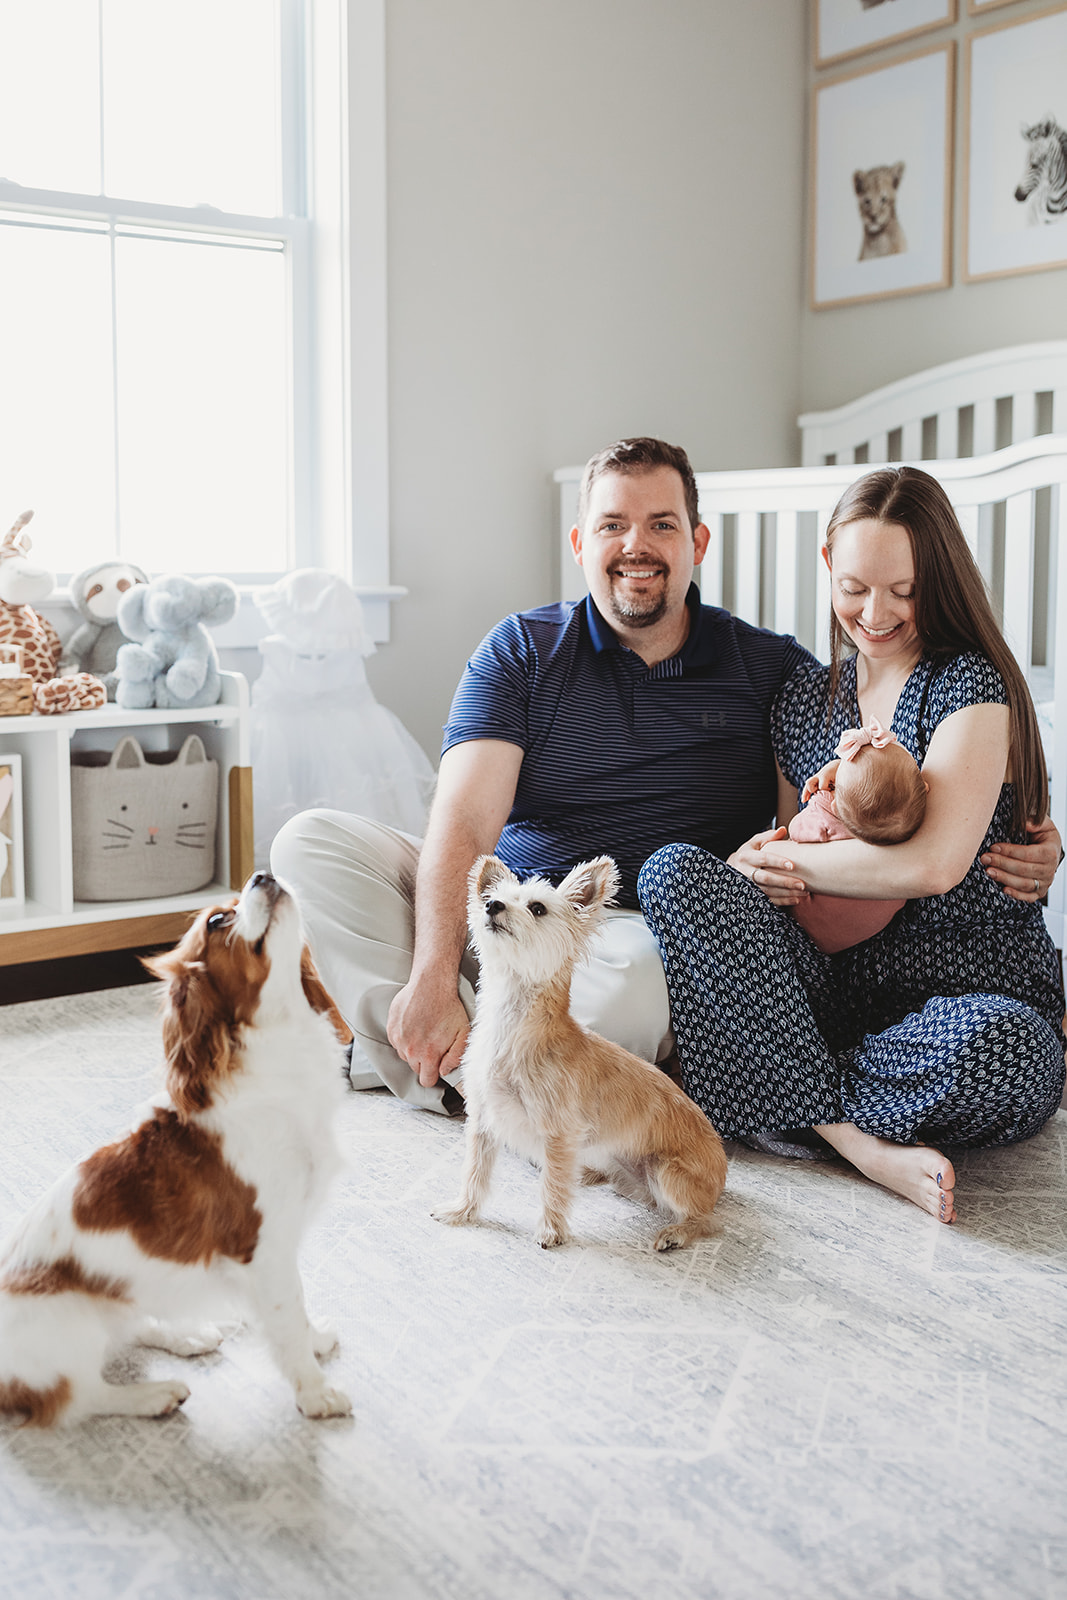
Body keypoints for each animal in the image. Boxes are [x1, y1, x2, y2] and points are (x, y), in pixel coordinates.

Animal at [0, 876, 351, 1427]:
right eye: (218, 920)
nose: (262, 875)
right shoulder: (264, 1248)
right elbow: (288, 1318)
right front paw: (316, 1394)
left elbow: (298, 1311)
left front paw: (314, 1342)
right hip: (67, 1318)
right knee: (76, 1397)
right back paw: (154, 1395)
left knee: (133, 1326)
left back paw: (186, 1335)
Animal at [431, 857, 726, 1254]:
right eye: (492, 897)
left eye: (537, 908)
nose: (492, 906)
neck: (513, 1025)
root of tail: (722, 1168)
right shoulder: (483, 1122)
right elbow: (475, 1173)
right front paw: (463, 1211)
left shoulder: (558, 1136)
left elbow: (553, 1186)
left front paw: (550, 1231)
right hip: (620, 1168)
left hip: (669, 1174)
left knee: (706, 1221)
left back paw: (676, 1232)